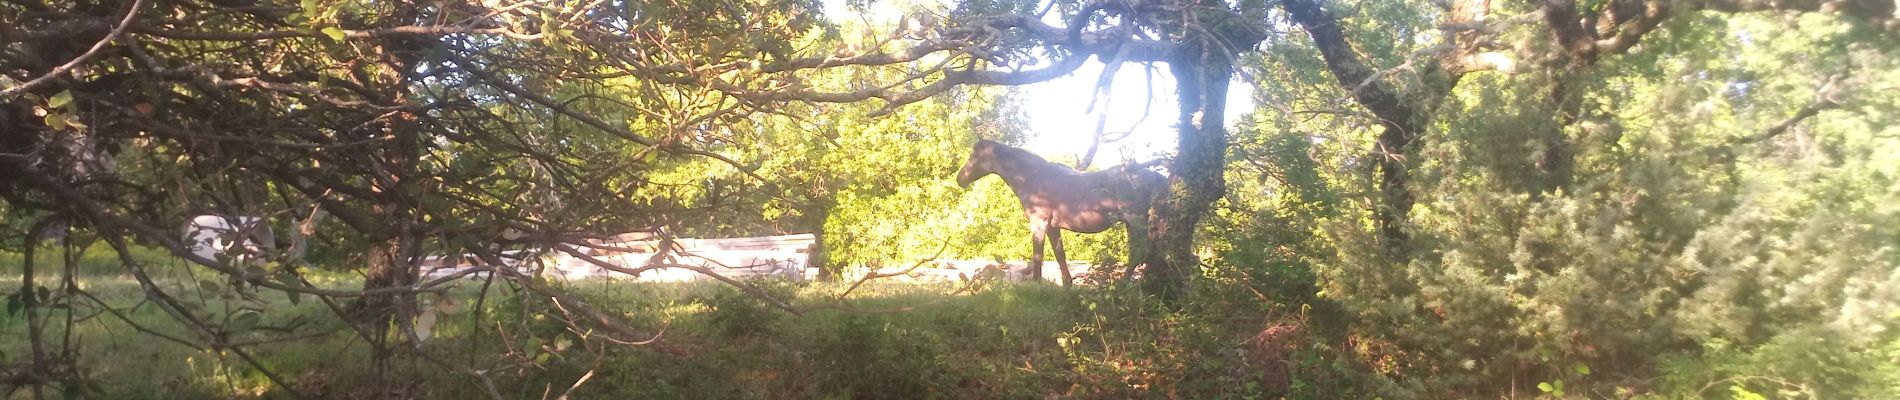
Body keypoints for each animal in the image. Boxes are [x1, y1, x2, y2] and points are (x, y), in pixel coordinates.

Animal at [957, 139, 1162, 286]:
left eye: (974, 155)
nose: (960, 179)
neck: (1034, 178)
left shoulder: (1039, 224)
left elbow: (1037, 256)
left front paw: (1036, 285)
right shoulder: (1052, 227)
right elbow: (1059, 255)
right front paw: (1067, 284)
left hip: (1136, 221)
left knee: (1140, 253)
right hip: (1131, 224)